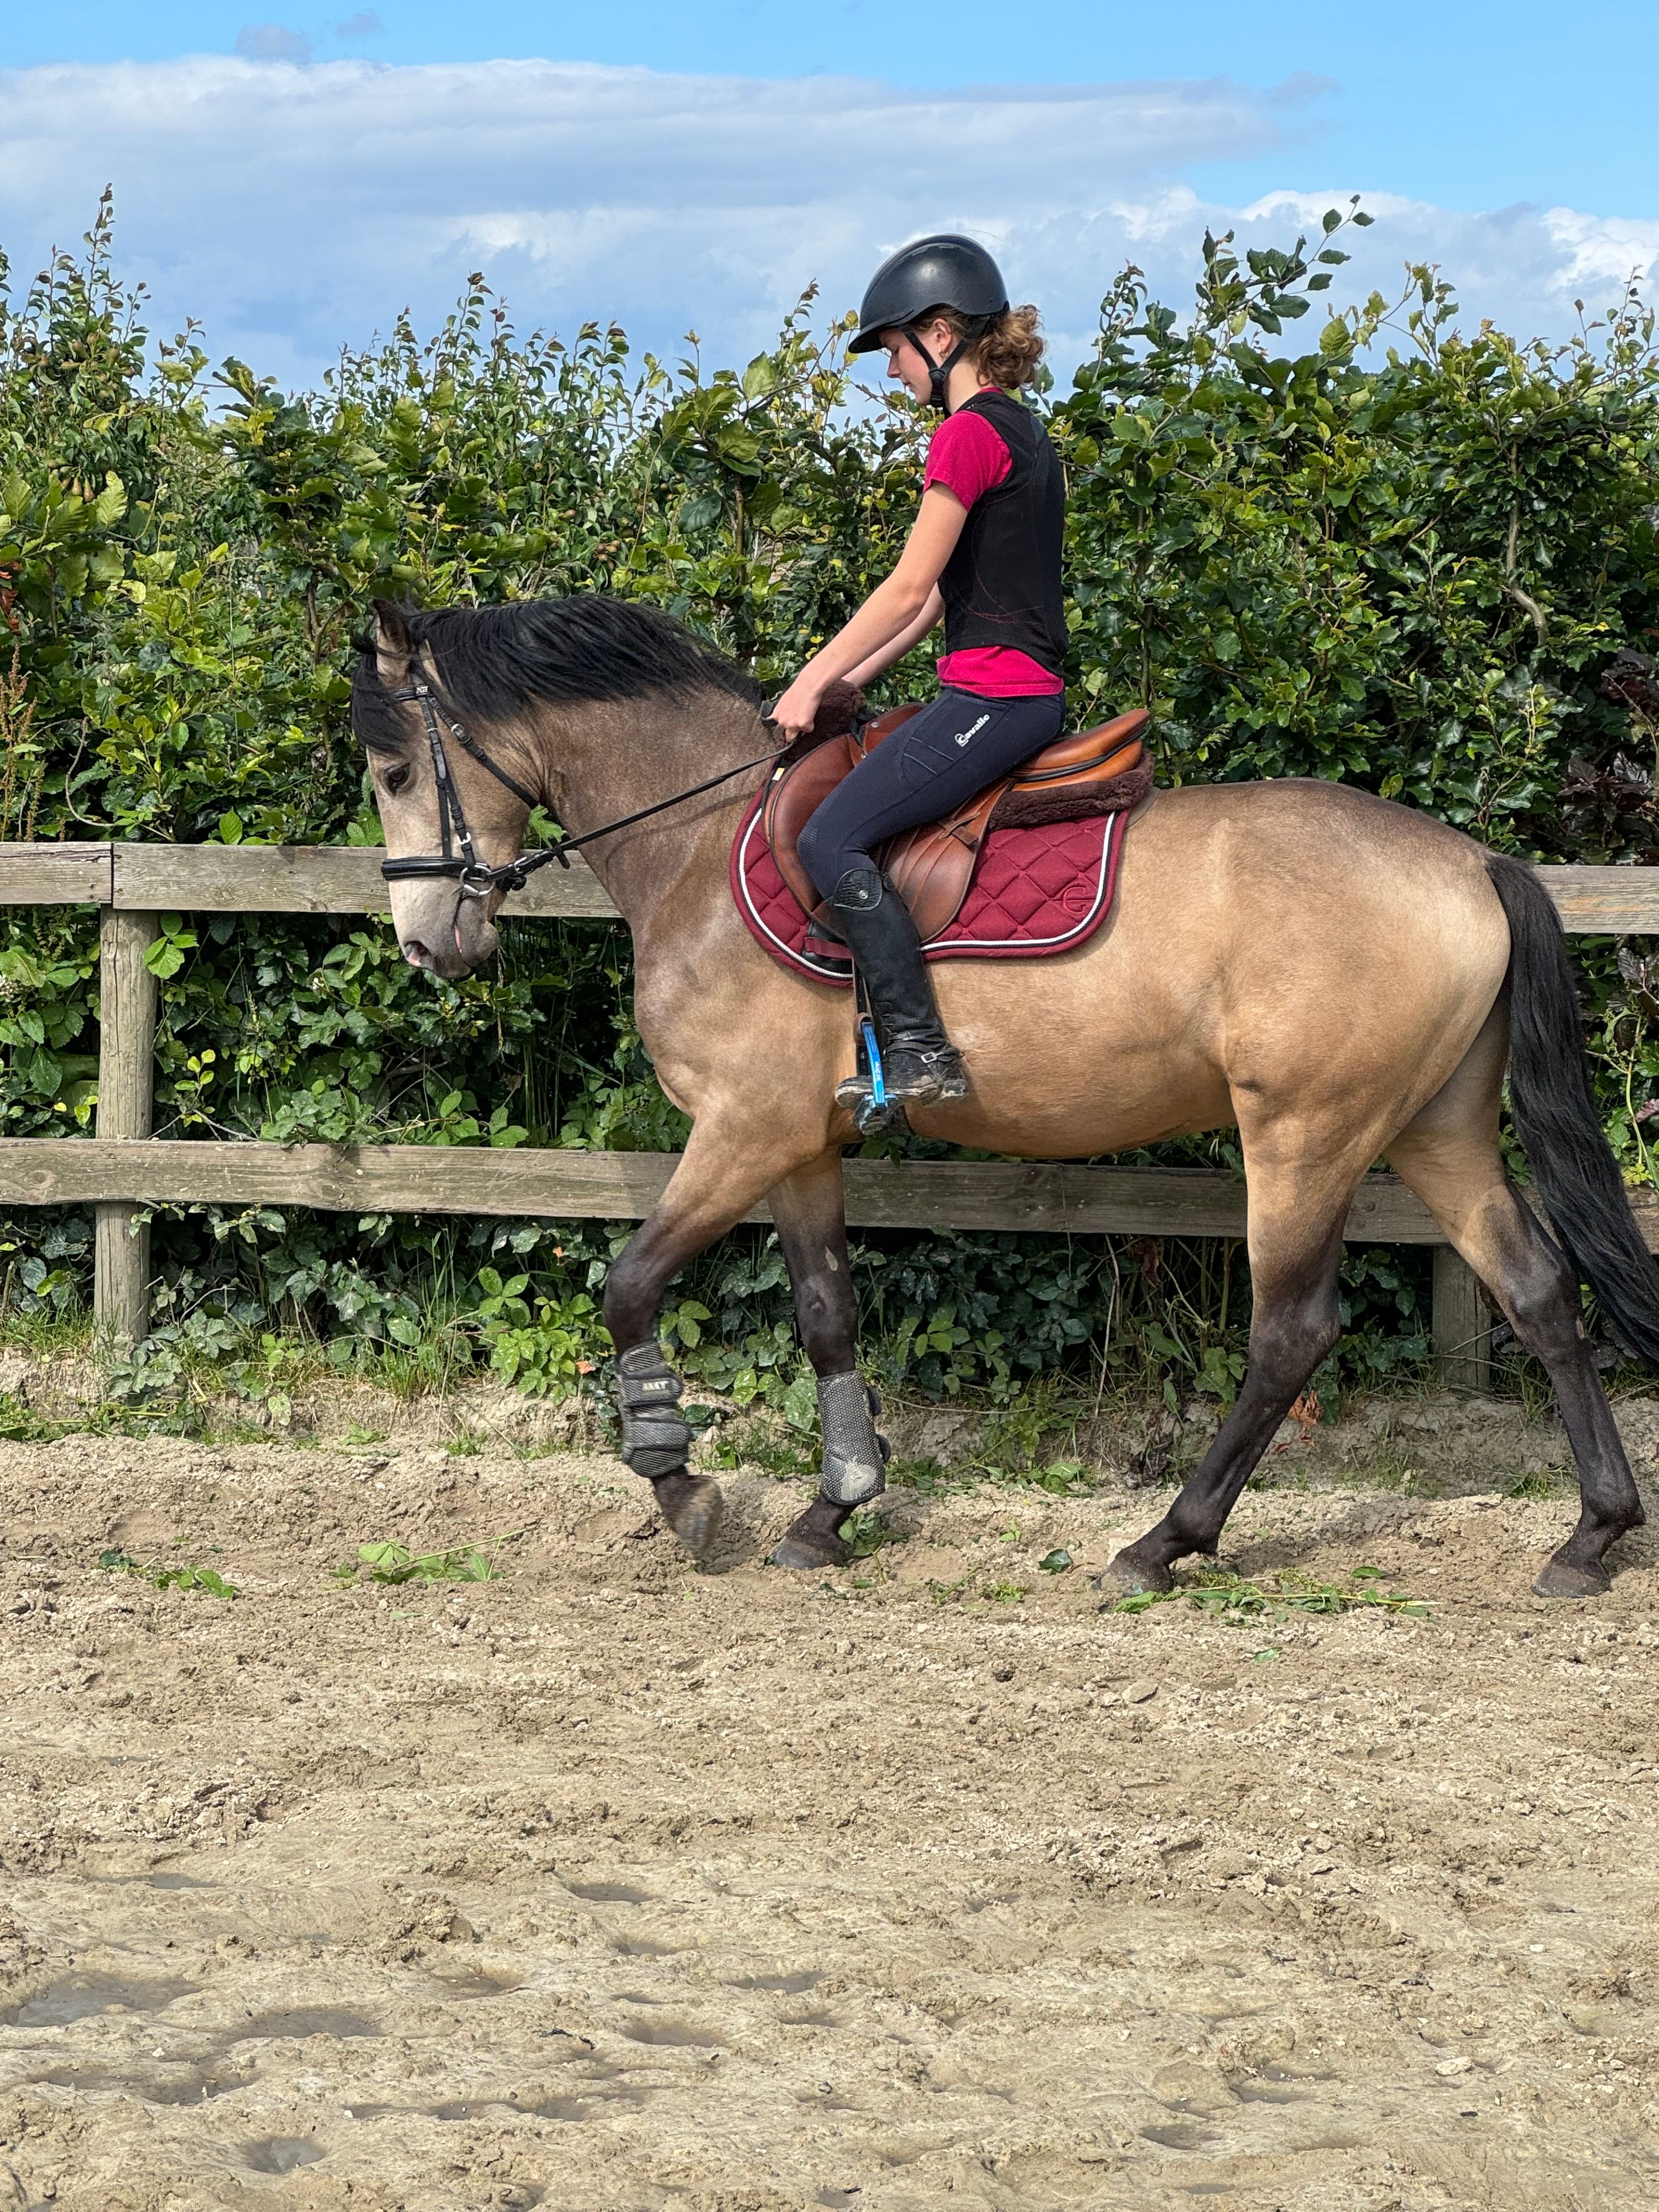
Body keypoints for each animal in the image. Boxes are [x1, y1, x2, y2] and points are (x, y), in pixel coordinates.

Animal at [352, 592, 1659, 1600]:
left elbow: (627, 1285)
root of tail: (1472, 861)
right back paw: (1590, 1536)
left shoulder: (740, 1130)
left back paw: (1162, 1543)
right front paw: (832, 1510)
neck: (697, 840)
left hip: (1306, 1134)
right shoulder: (801, 1144)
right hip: (1437, 1130)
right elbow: (827, 1313)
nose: (424, 944)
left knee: (1291, 1333)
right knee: (1539, 1293)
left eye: (395, 766)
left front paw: (679, 1483)